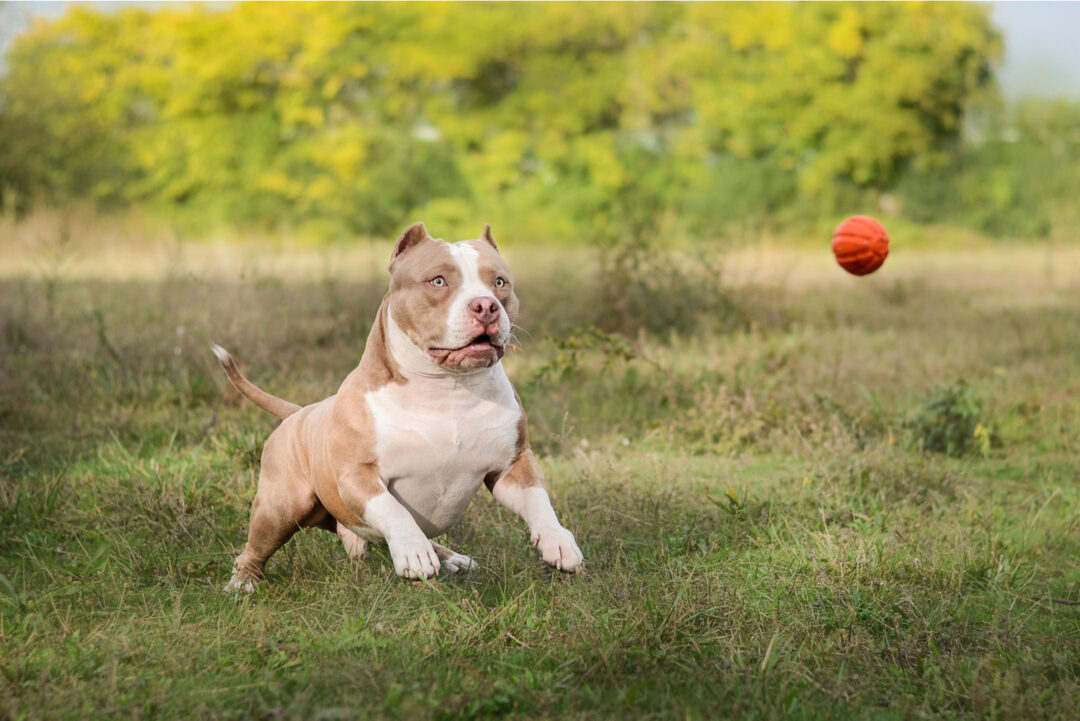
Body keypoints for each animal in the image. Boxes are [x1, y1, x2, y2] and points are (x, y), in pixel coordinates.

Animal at [210, 222, 583, 587]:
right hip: (281, 505)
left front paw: (558, 541)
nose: (486, 306)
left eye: (500, 282)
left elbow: (538, 500)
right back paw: (242, 583)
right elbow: (395, 511)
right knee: (254, 549)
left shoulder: (511, 466)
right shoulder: (358, 476)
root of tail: (301, 411)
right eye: (438, 281)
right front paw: (412, 551)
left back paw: (453, 559)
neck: (448, 389)